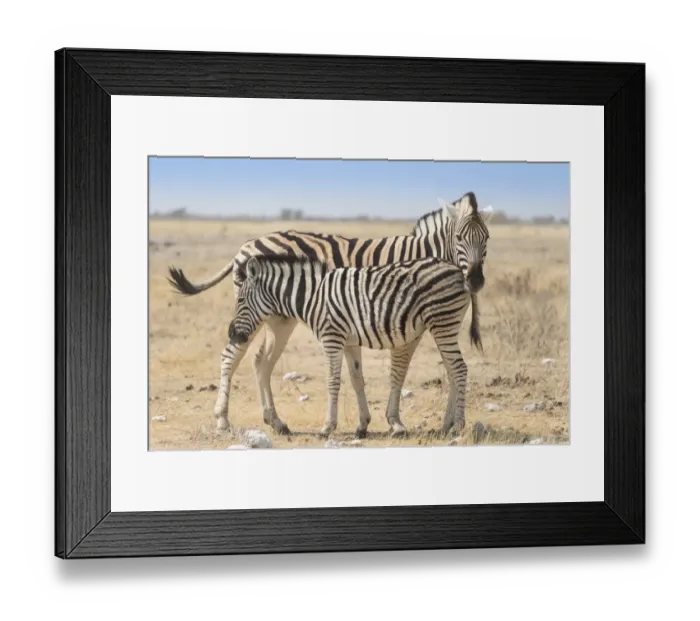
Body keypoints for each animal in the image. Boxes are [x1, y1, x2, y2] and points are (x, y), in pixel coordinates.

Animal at [229, 255, 473, 438]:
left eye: (240, 301)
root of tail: (457, 270)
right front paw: (362, 425)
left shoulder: (332, 338)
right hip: (443, 326)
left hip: (443, 322)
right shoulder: (349, 343)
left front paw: (328, 427)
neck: (313, 296)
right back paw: (446, 425)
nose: (232, 334)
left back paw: (458, 425)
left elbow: (333, 381)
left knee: (460, 369)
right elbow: (357, 380)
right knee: (452, 371)